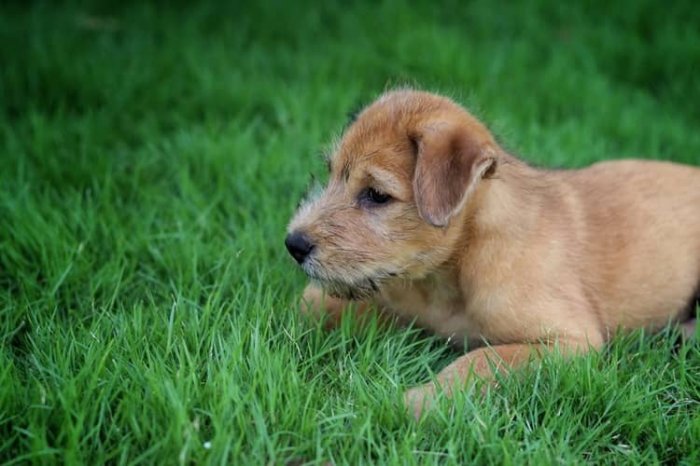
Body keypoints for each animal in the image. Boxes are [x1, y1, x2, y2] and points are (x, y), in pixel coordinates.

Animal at [284, 89, 700, 416]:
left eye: (376, 194)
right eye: (332, 173)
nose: (294, 244)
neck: (451, 274)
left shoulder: (570, 341)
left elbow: (482, 360)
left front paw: (420, 402)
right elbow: (310, 303)